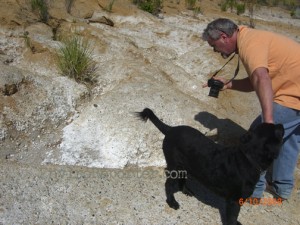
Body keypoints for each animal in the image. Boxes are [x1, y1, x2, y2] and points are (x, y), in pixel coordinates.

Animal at [136, 108, 284, 224]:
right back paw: (172, 202)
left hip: (184, 167)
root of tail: (171, 129)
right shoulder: (234, 201)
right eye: (277, 131)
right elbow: (232, 218)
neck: (248, 157)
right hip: (176, 167)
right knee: (168, 185)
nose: (282, 124)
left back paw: (186, 190)